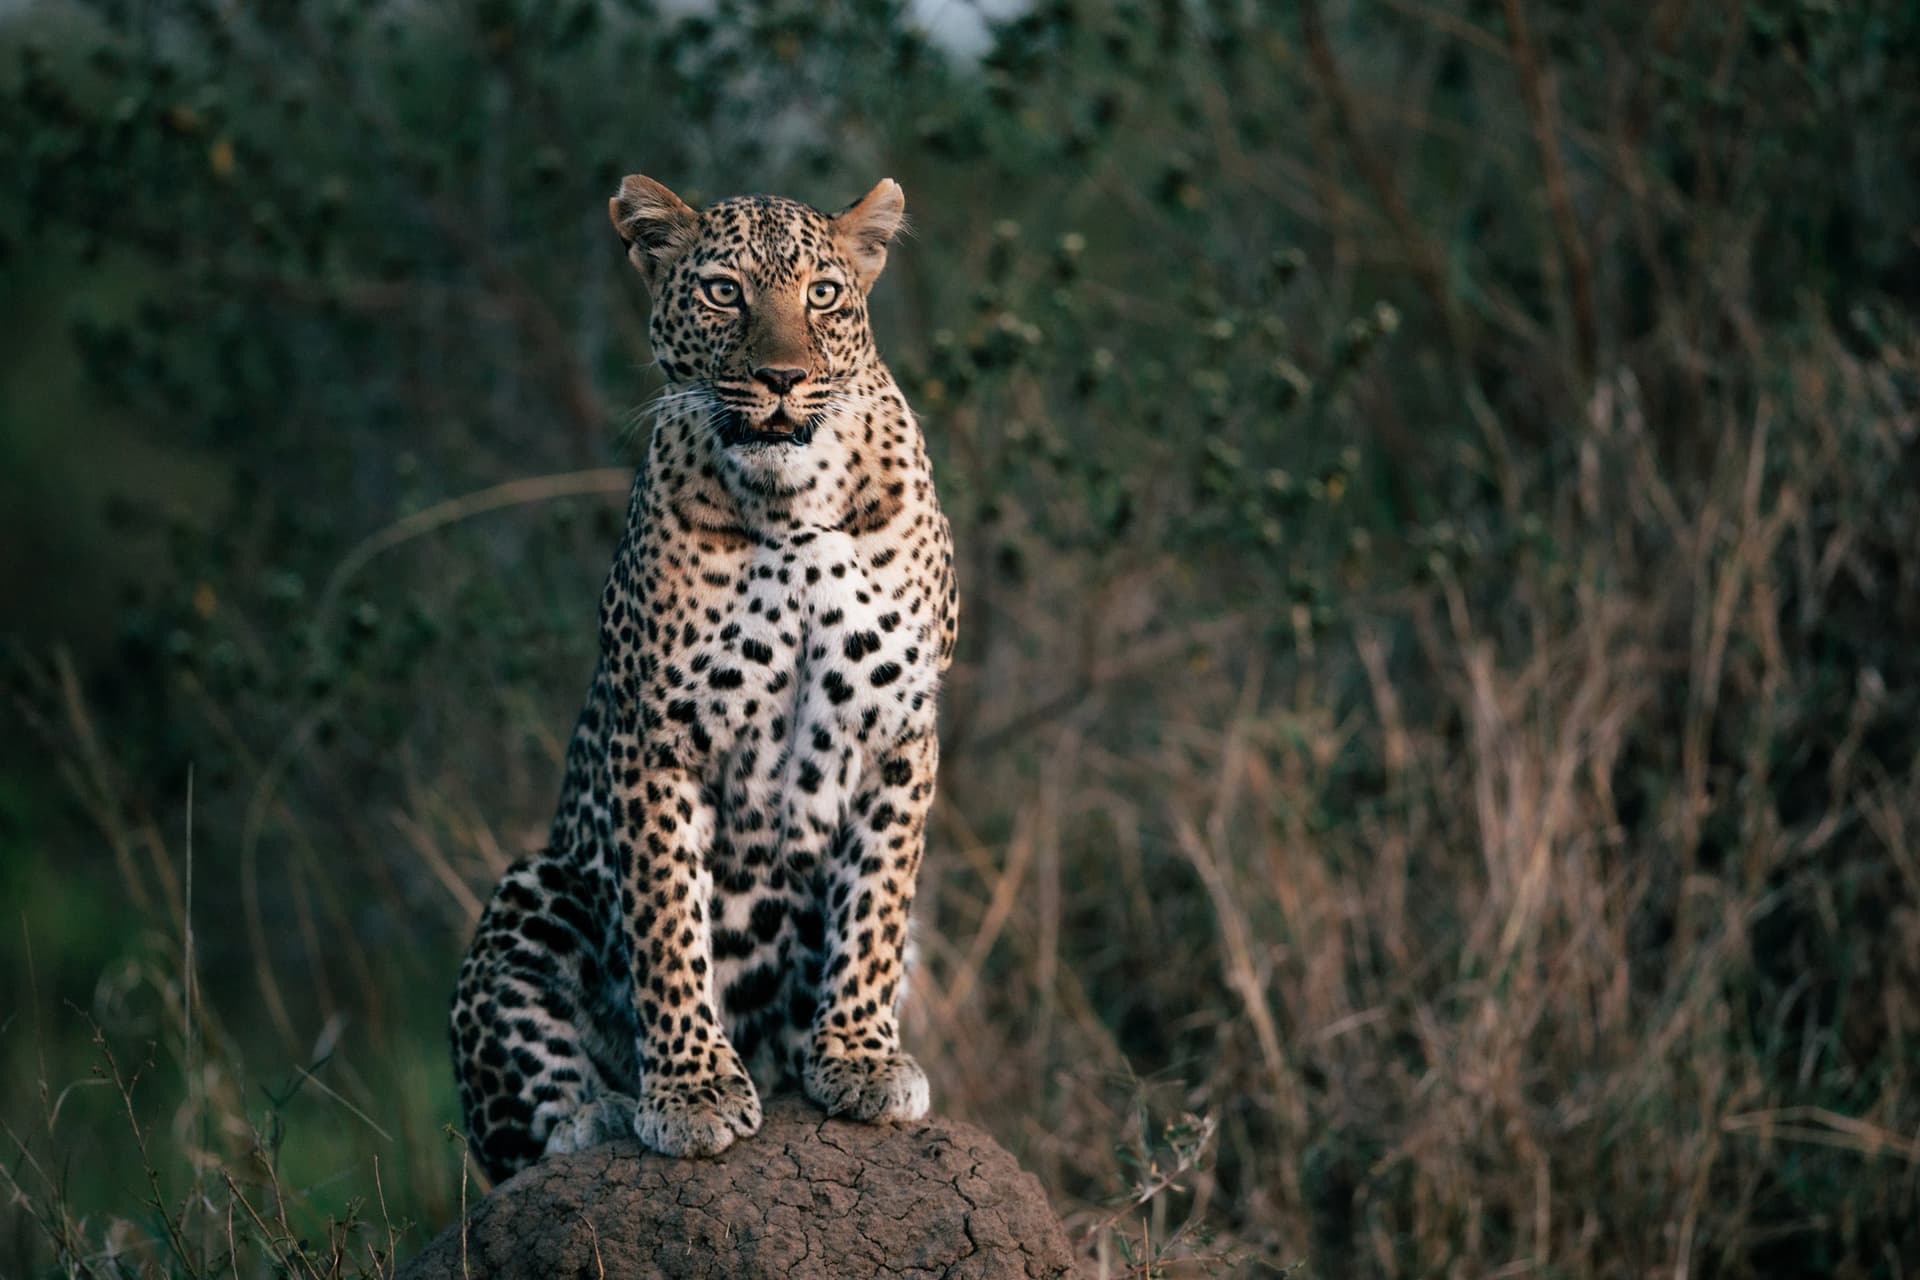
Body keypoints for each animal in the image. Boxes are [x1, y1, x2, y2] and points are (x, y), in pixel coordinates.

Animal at [448, 174, 958, 1182]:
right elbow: (666, 922)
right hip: (532, 891)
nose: (782, 378)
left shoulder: (899, 730)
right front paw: (691, 1093)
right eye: (725, 292)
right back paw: (597, 1116)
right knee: (511, 1137)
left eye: (823, 294)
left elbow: (876, 908)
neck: (794, 505)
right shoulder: (657, 737)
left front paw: (860, 1058)